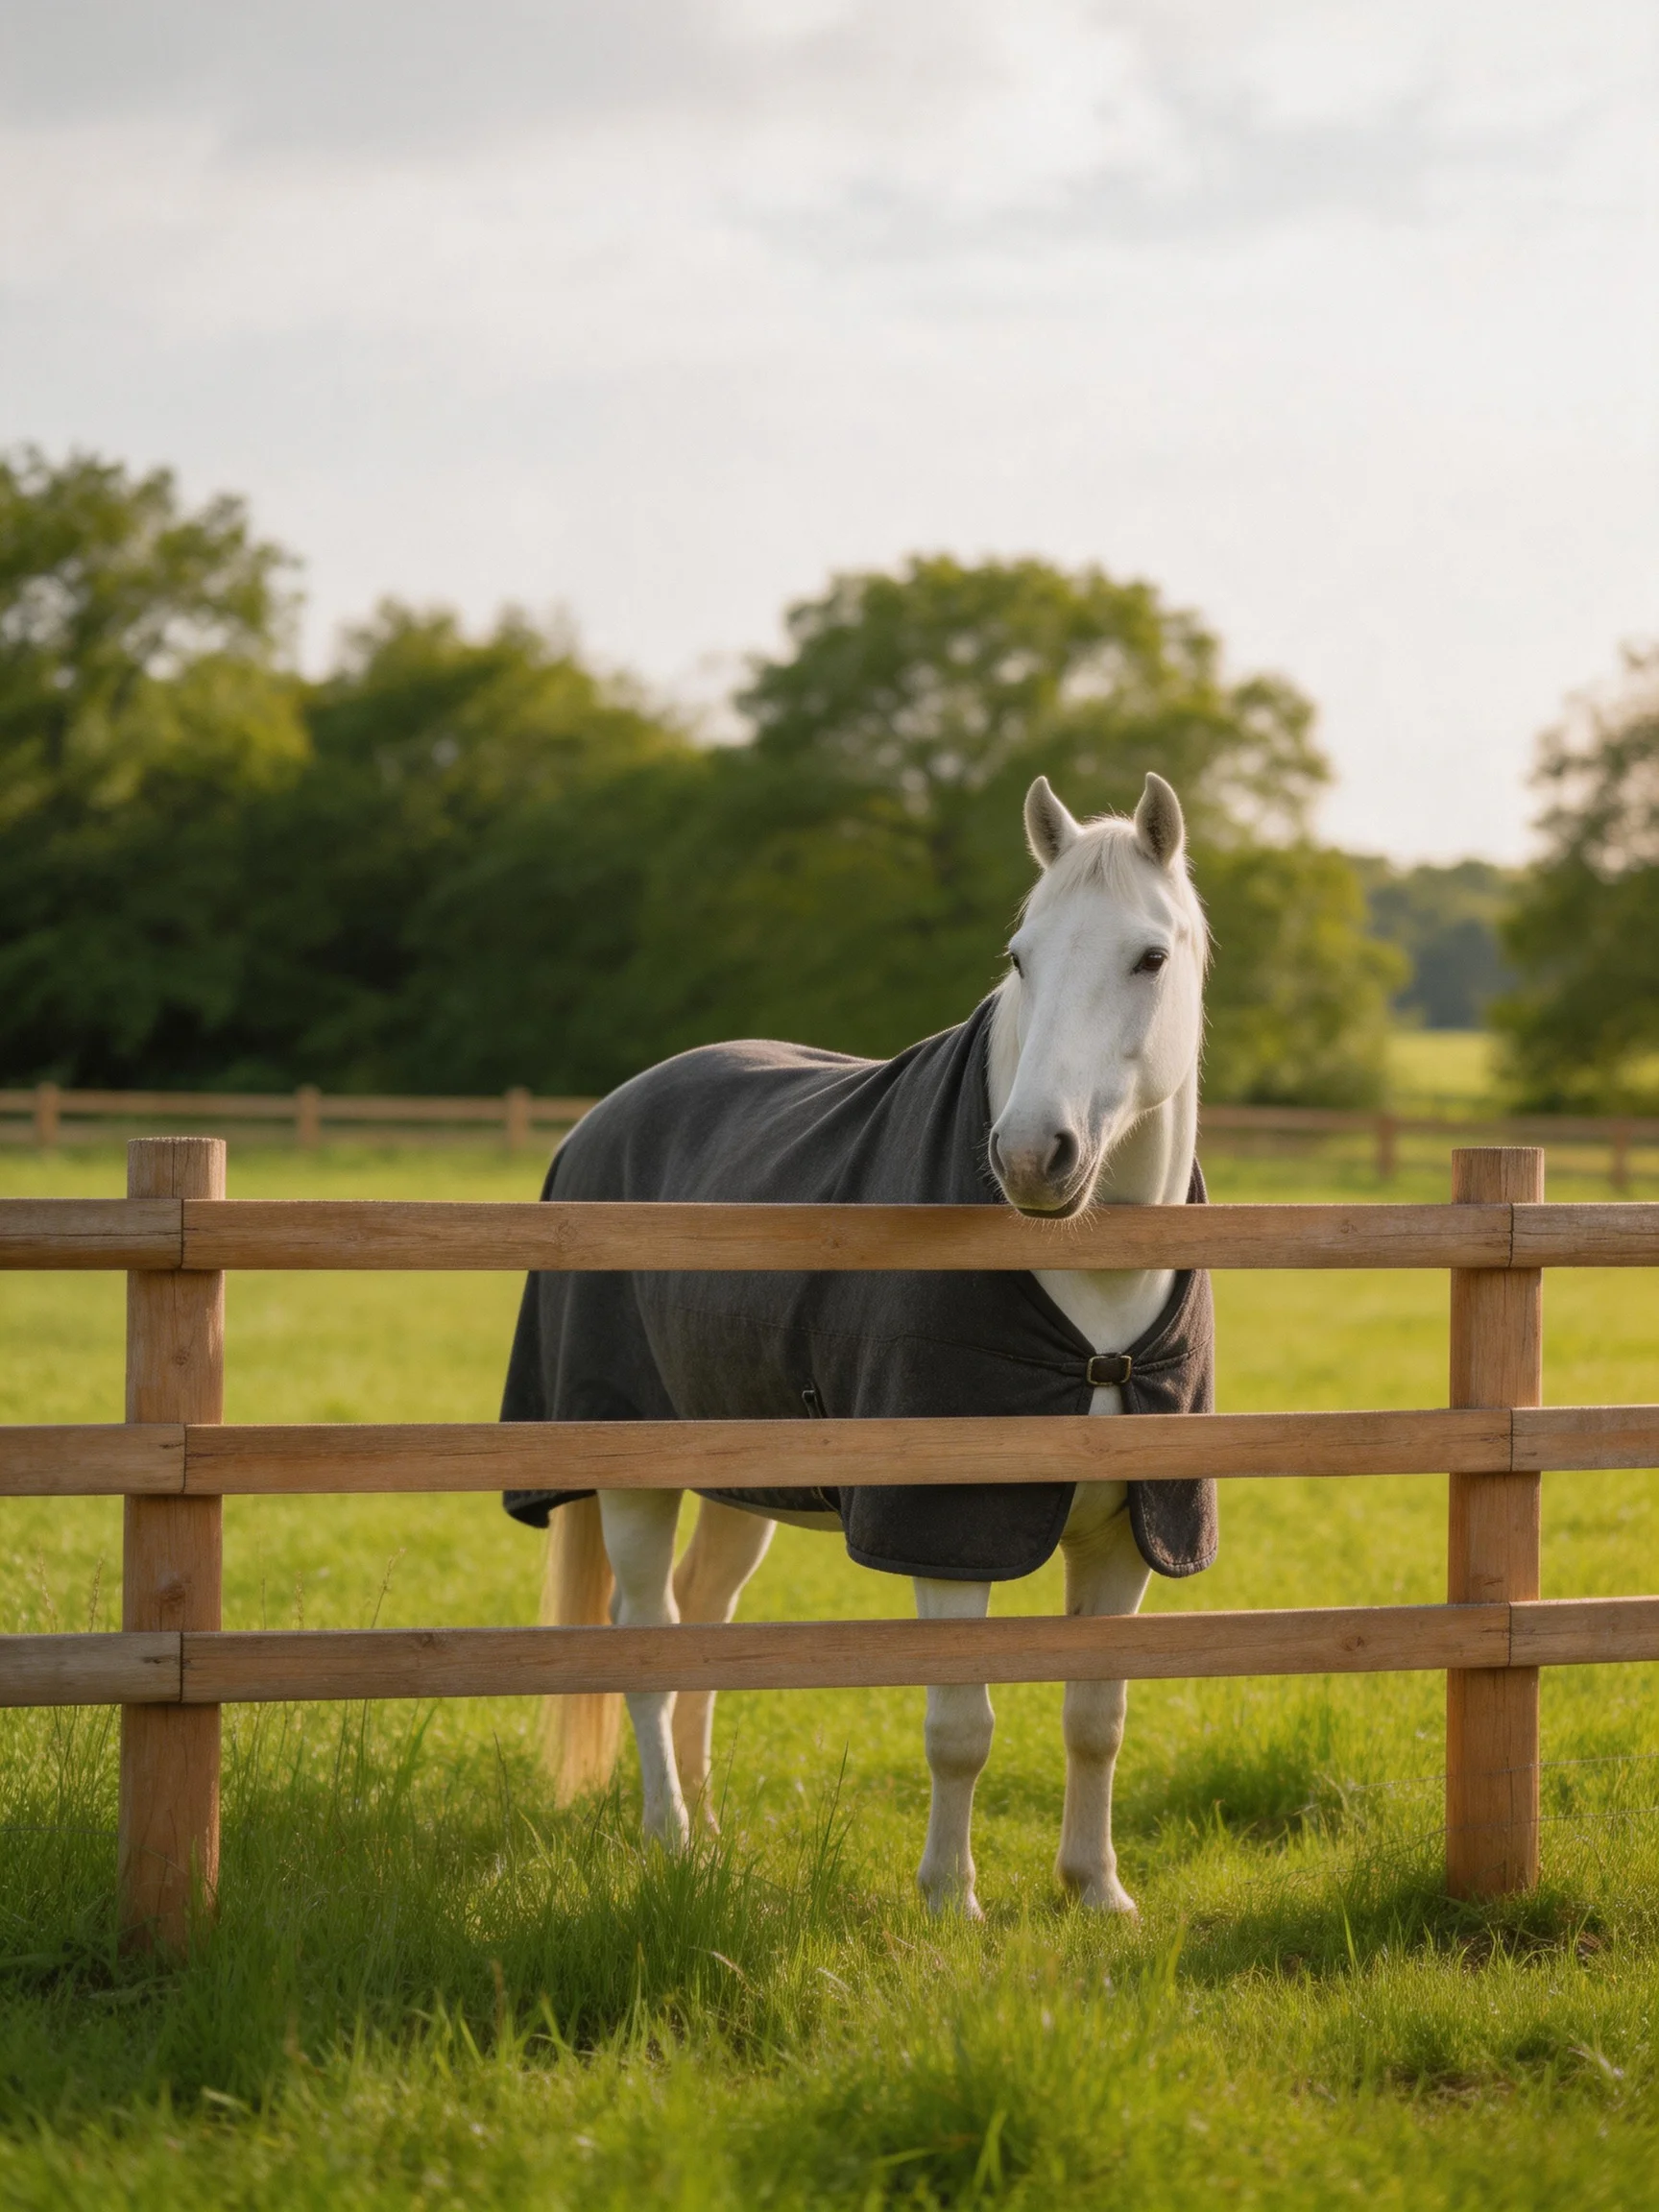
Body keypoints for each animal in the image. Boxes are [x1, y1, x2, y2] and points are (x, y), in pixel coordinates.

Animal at [504, 770, 1211, 1917]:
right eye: (1021, 955)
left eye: (1150, 956)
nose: (1031, 1155)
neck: (1092, 1309)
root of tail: (603, 1117)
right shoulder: (945, 1531)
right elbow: (961, 1727)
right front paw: (949, 1900)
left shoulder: (1124, 1540)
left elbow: (1095, 1717)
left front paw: (1096, 1891)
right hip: (631, 1473)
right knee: (647, 1627)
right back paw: (670, 1837)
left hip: (741, 1477)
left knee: (705, 1616)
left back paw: (708, 1824)